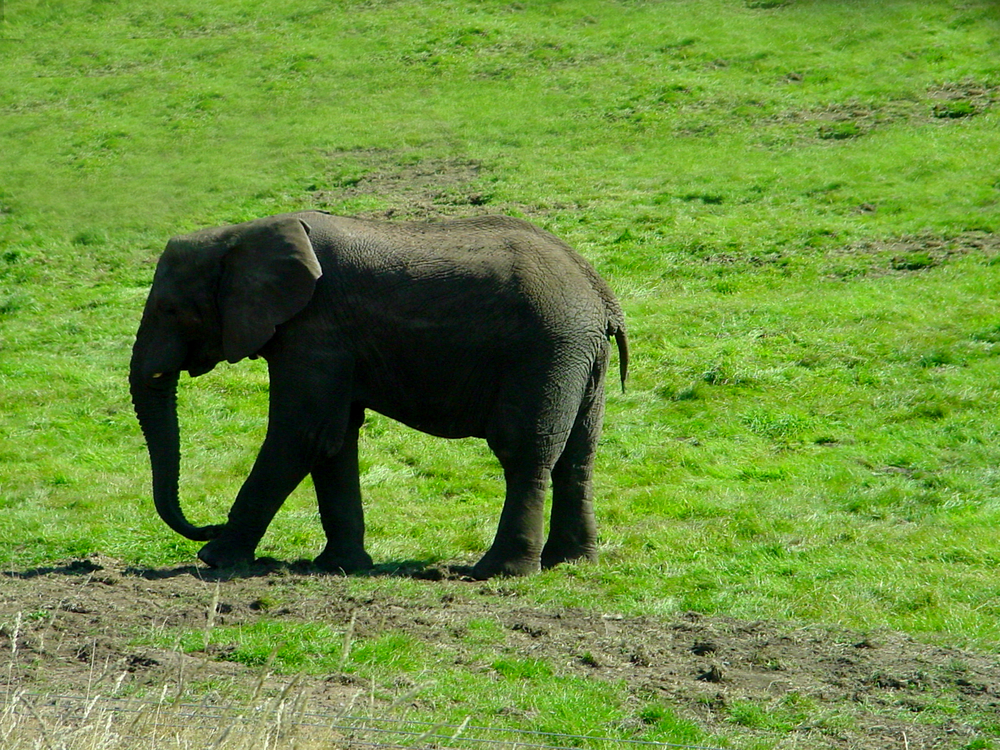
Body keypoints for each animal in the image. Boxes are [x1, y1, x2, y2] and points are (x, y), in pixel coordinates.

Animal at [129, 211, 628, 579]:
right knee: (577, 456)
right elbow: (333, 441)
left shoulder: (315, 331)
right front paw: (340, 567)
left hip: (545, 351)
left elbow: (302, 436)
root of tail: (601, 293)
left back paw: (498, 573)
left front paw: (214, 560)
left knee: (523, 451)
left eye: (170, 309)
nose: (208, 523)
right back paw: (571, 564)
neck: (240, 234)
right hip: (581, 357)